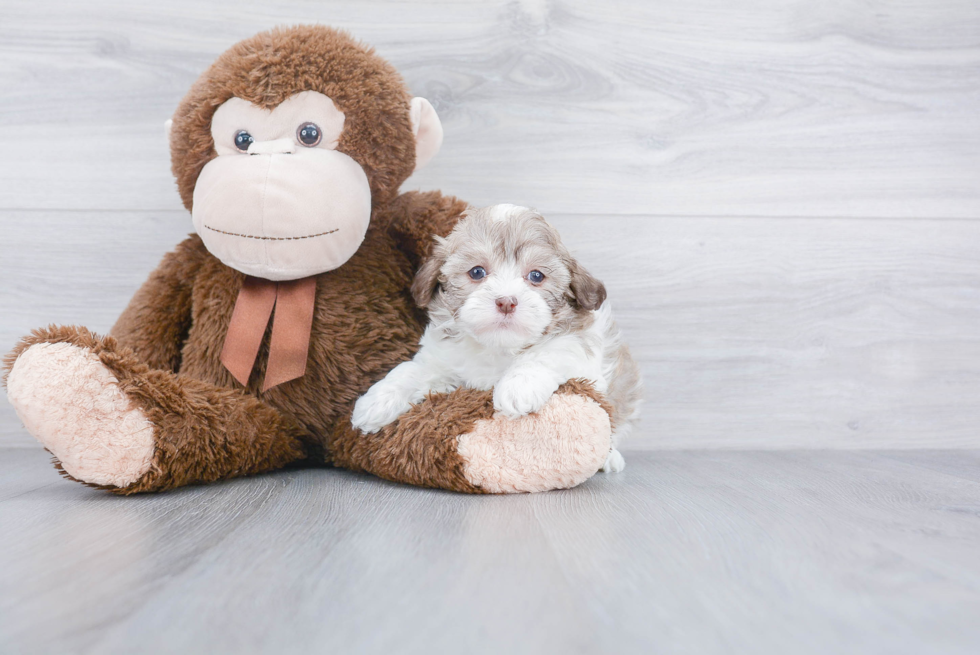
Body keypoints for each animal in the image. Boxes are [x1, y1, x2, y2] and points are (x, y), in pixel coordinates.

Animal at [352, 205, 644, 472]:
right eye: (477, 272)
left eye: (536, 276)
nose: (506, 301)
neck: (497, 347)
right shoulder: (441, 360)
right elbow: (411, 370)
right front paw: (376, 402)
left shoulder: (578, 347)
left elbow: (547, 353)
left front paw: (518, 387)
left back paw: (611, 458)